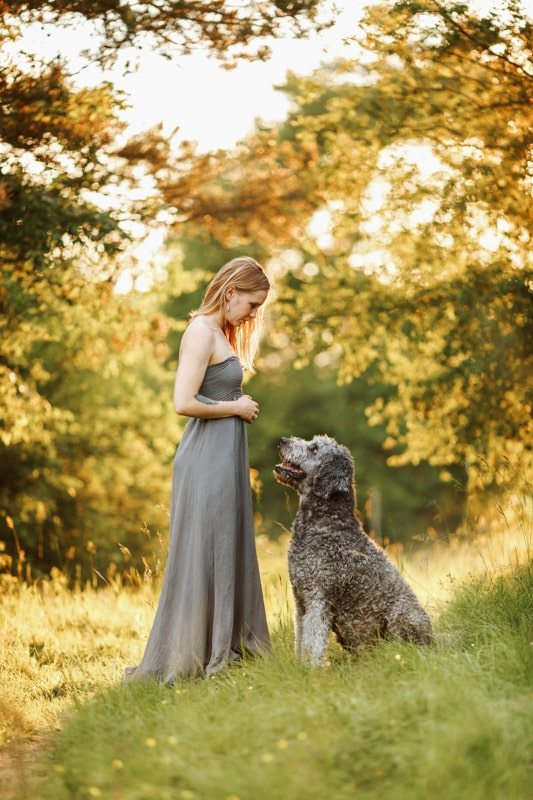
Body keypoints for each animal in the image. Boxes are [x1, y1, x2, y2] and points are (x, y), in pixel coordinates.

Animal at [274, 434, 432, 664]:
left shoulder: (317, 601)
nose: (283, 440)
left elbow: (312, 643)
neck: (327, 523)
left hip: (403, 614)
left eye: (314, 448)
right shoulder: (301, 601)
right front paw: (299, 666)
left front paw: (310, 669)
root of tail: (434, 641)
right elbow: (301, 640)